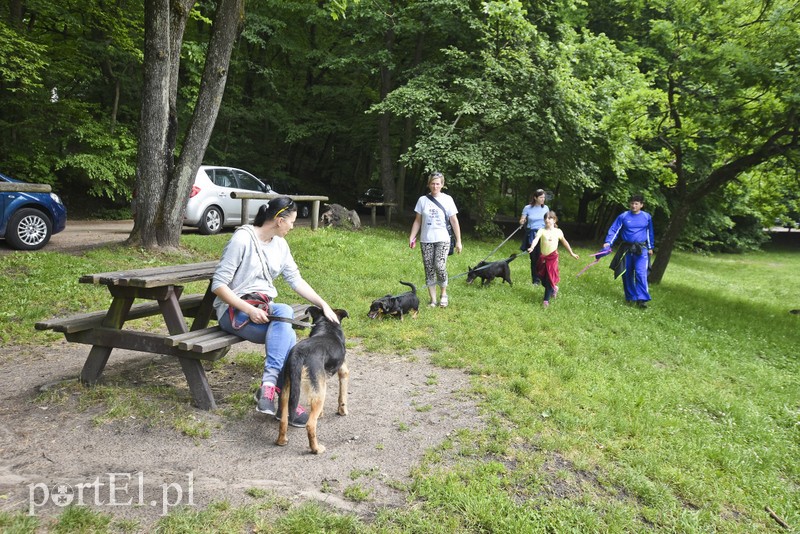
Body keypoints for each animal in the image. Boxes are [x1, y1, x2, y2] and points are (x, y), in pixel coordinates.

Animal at [276, 308, 348, 454]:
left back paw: (281, 441)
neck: (327, 325)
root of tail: (299, 353)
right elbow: (342, 394)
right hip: (320, 392)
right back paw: (316, 449)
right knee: (310, 425)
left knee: (283, 420)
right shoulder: (342, 369)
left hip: (287, 389)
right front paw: (342, 411)